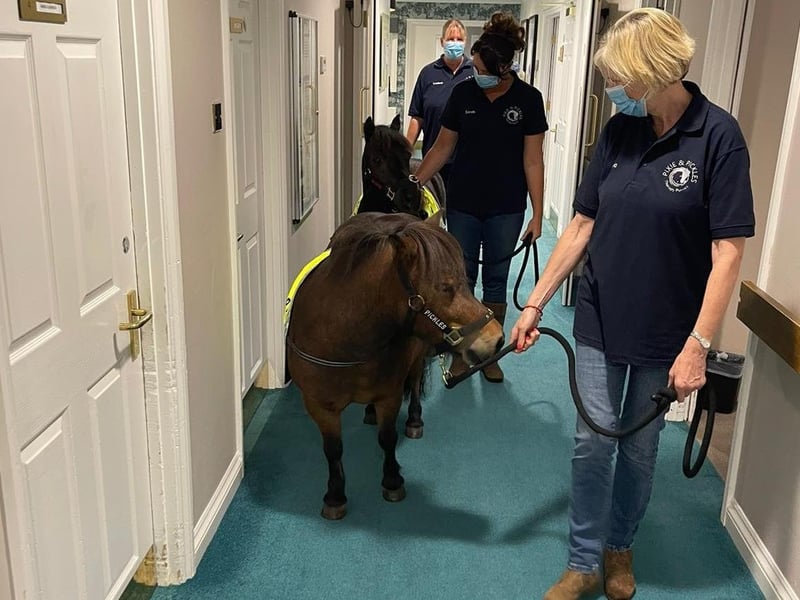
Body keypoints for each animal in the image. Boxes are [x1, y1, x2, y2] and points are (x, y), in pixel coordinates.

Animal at [286, 212, 504, 519]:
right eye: (446, 286)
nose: (497, 339)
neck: (346, 339)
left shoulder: (389, 395)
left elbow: (387, 438)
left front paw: (391, 480)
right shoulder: (320, 406)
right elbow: (333, 449)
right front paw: (335, 495)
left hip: (417, 358)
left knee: (414, 382)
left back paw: (413, 420)